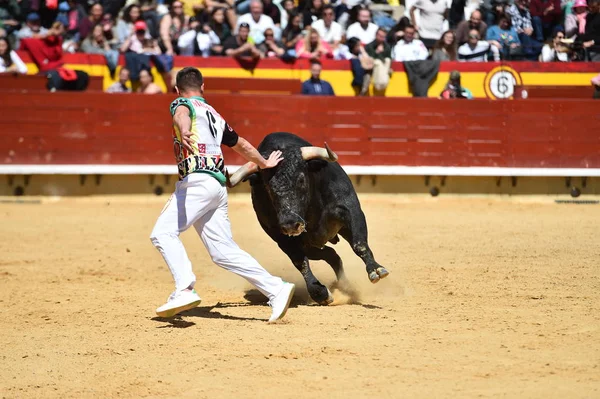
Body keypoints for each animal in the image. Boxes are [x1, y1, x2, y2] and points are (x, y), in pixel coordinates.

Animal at [226, 133, 390, 304]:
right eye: (268, 187)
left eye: (301, 179)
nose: (291, 224)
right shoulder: (280, 237)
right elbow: (300, 261)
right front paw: (320, 293)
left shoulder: (351, 210)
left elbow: (359, 244)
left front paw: (376, 270)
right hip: (310, 246)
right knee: (331, 256)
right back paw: (344, 287)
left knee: (335, 254)